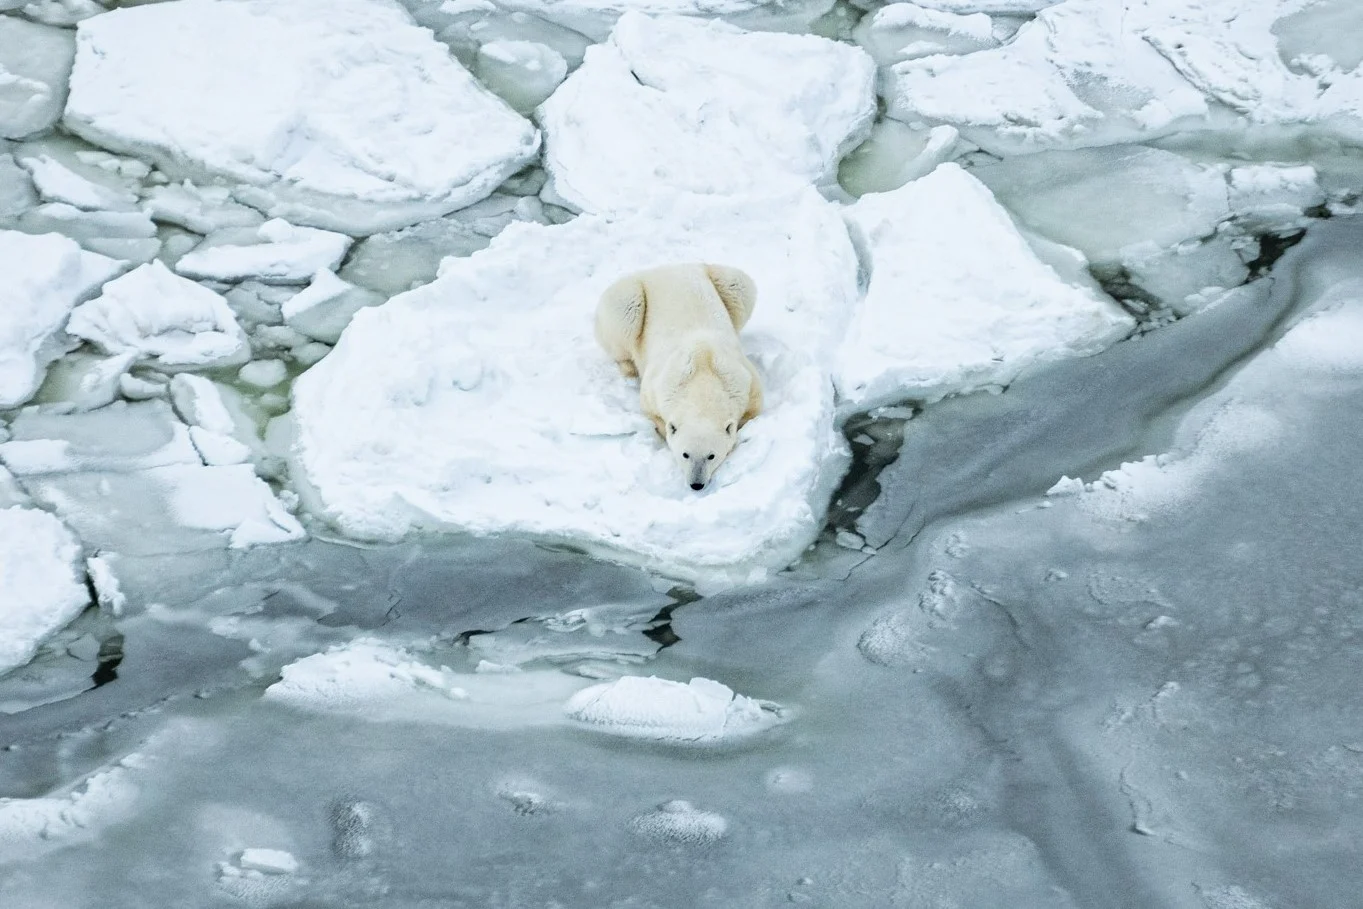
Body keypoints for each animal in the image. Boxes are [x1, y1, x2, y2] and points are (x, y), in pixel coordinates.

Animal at [596, 263, 768, 490]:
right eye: (685, 454)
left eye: (711, 456)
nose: (696, 484)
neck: (703, 372)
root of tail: (667, 267)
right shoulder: (658, 386)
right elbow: (653, 414)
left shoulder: (744, 380)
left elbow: (752, 412)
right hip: (629, 297)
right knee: (624, 316)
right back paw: (629, 368)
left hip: (721, 279)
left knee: (739, 286)